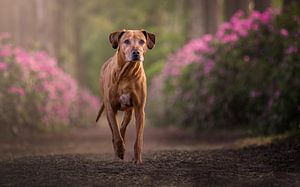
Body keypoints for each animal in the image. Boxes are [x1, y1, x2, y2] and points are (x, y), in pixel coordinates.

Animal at [96, 29, 156, 164]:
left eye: (142, 41)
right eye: (126, 41)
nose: (136, 52)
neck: (126, 74)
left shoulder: (139, 109)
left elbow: (138, 139)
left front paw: (137, 159)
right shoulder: (111, 109)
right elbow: (116, 133)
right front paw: (119, 151)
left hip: (129, 111)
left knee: (123, 127)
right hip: (108, 111)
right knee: (115, 132)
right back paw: (117, 153)